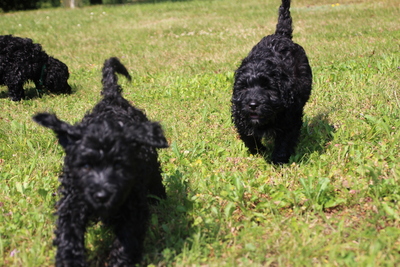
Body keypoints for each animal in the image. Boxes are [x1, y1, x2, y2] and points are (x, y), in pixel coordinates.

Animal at [32, 57, 167, 266]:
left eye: (119, 166)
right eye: (86, 166)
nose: (102, 196)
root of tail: (112, 98)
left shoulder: (132, 204)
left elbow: (127, 238)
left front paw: (119, 261)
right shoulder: (73, 201)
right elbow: (69, 235)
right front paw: (69, 260)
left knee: (155, 178)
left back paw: (160, 198)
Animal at [231, 0, 312, 165]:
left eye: (267, 88)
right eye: (244, 88)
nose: (253, 105)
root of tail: (281, 35)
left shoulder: (290, 117)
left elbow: (284, 141)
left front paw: (278, 160)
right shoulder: (239, 112)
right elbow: (248, 136)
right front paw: (258, 150)